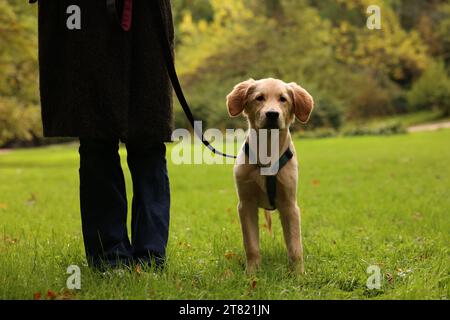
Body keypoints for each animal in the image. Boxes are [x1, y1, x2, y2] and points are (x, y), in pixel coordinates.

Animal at [227, 79, 314, 274]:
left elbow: (295, 246)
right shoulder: (246, 205)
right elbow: (251, 245)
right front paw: (252, 273)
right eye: (259, 98)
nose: (272, 114)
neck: (267, 151)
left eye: (283, 99)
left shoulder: (290, 205)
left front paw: (299, 274)